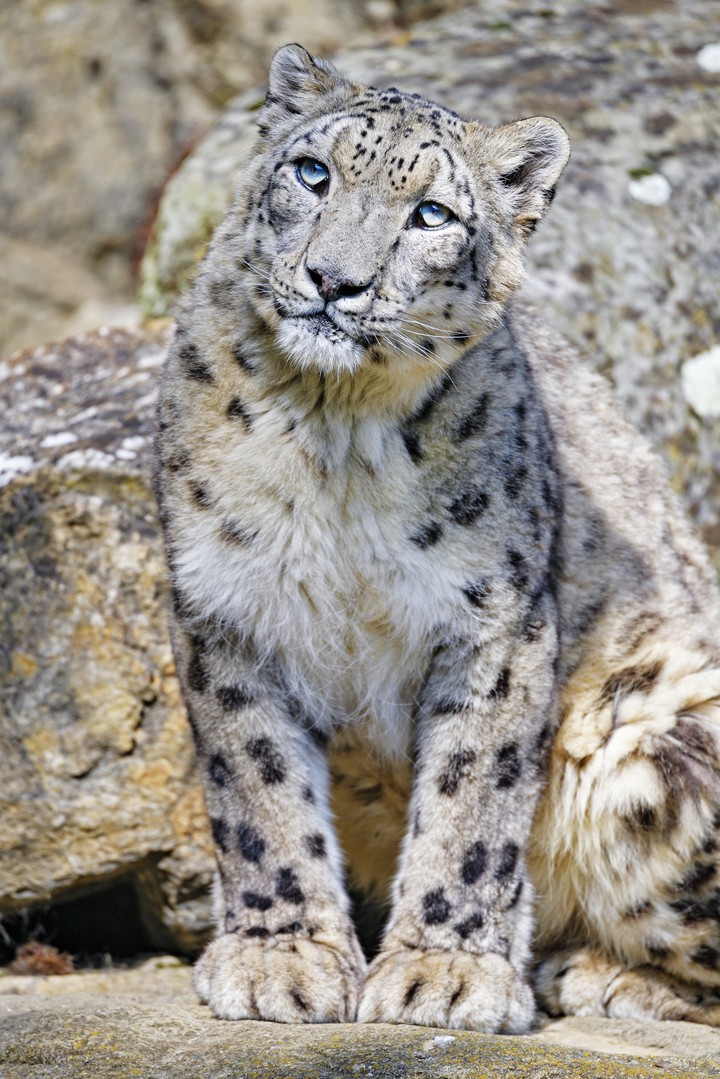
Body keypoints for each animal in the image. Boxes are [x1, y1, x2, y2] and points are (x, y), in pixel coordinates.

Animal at [153, 44, 720, 1032]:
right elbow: (257, 786)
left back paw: (599, 976)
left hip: (664, 741)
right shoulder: (225, 608)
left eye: (432, 214)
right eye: (314, 173)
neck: (333, 435)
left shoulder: (494, 621)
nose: (334, 279)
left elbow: (472, 799)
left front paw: (442, 973)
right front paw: (282, 955)